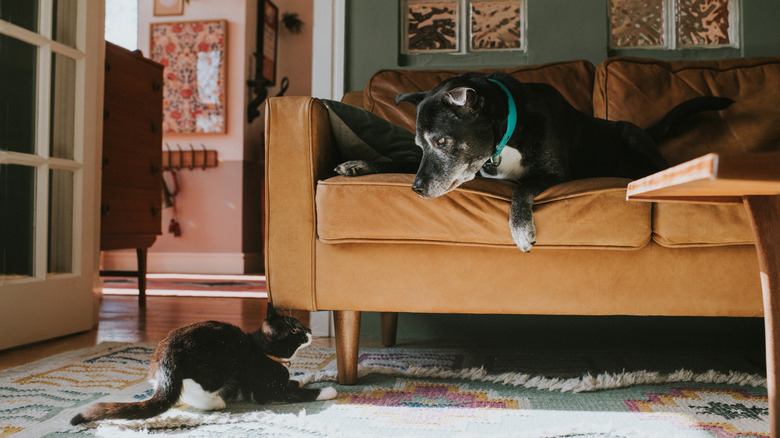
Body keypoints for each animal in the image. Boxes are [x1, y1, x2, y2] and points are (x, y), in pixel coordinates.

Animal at [69, 302, 332, 422]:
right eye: (295, 331)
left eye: (300, 324)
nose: (309, 330)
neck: (266, 353)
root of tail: (166, 360)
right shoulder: (266, 391)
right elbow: (294, 392)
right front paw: (328, 391)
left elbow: (295, 382)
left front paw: (306, 377)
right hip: (219, 367)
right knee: (190, 391)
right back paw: (216, 401)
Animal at [336, 73, 732, 252]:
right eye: (421, 144)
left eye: (442, 141)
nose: (417, 190)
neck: (508, 133)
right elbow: (398, 159)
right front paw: (359, 164)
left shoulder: (552, 172)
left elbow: (522, 187)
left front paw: (521, 229)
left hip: (632, 134)